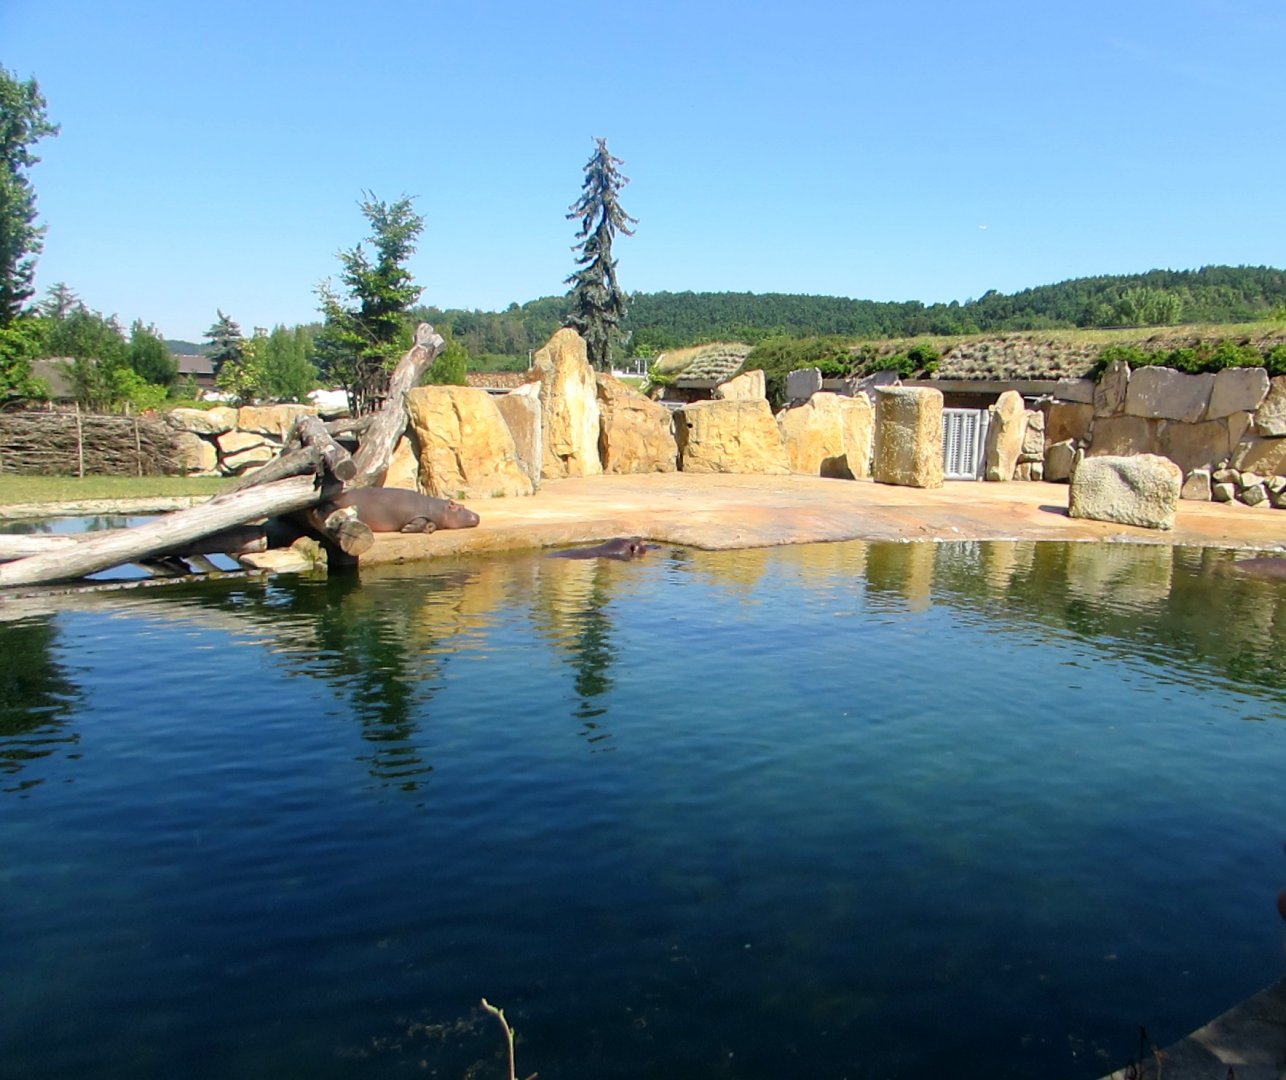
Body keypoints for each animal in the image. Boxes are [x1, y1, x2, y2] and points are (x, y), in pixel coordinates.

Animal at [332, 487, 480, 533]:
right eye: (460, 508)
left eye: (463, 506)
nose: (477, 516)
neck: (439, 508)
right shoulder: (416, 514)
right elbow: (420, 521)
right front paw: (406, 529)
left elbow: (429, 523)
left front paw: (429, 529)